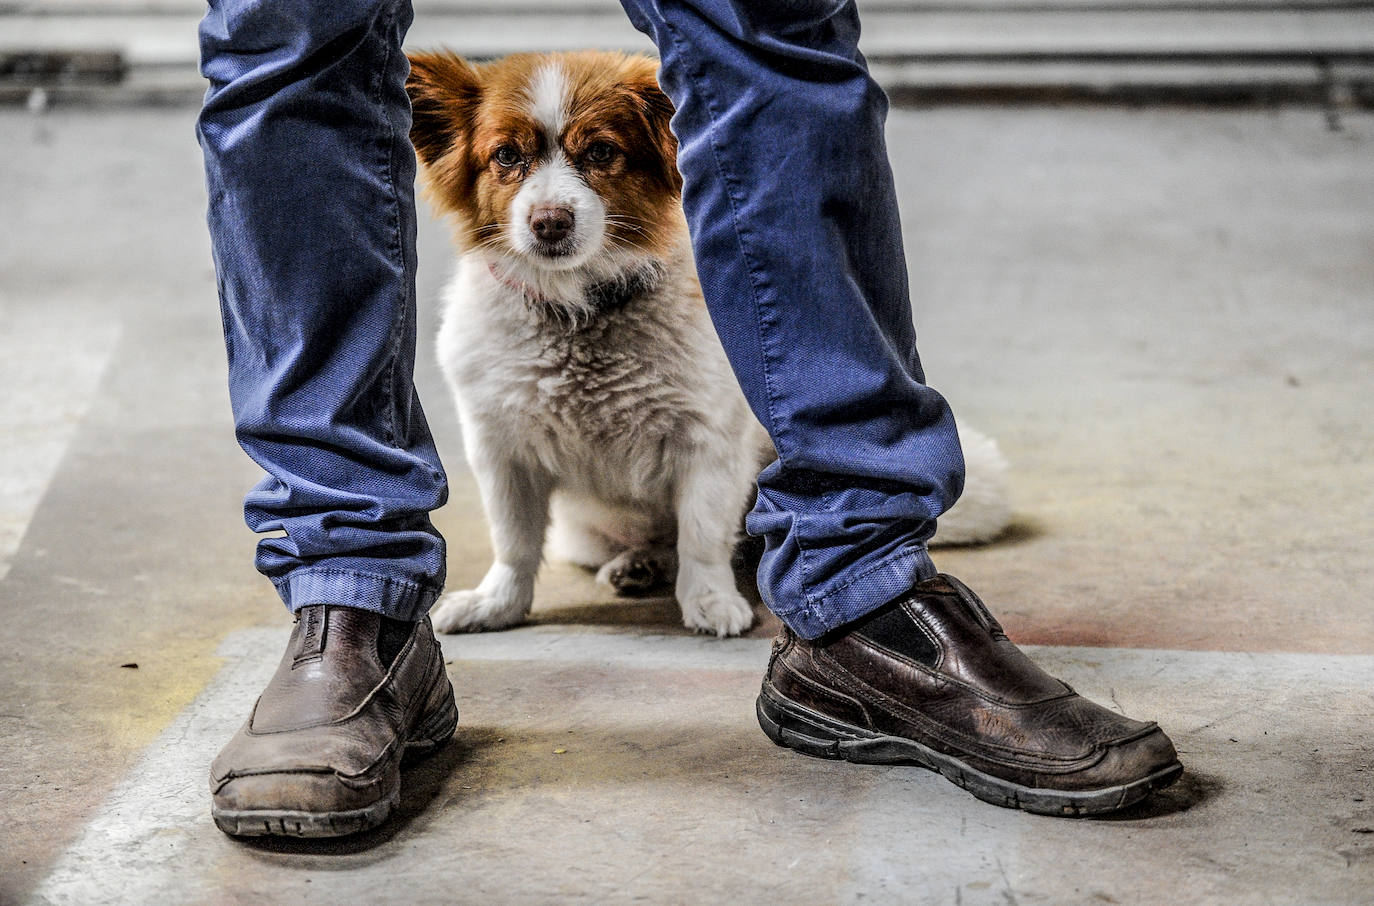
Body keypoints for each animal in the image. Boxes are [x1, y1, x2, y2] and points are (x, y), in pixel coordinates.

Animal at [401, 49, 1005, 637]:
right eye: (505, 156)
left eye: (600, 151)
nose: (550, 221)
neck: (579, 311)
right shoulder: (502, 452)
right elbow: (515, 542)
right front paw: (498, 604)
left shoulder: (709, 444)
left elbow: (703, 536)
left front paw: (710, 601)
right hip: (587, 532)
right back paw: (639, 563)